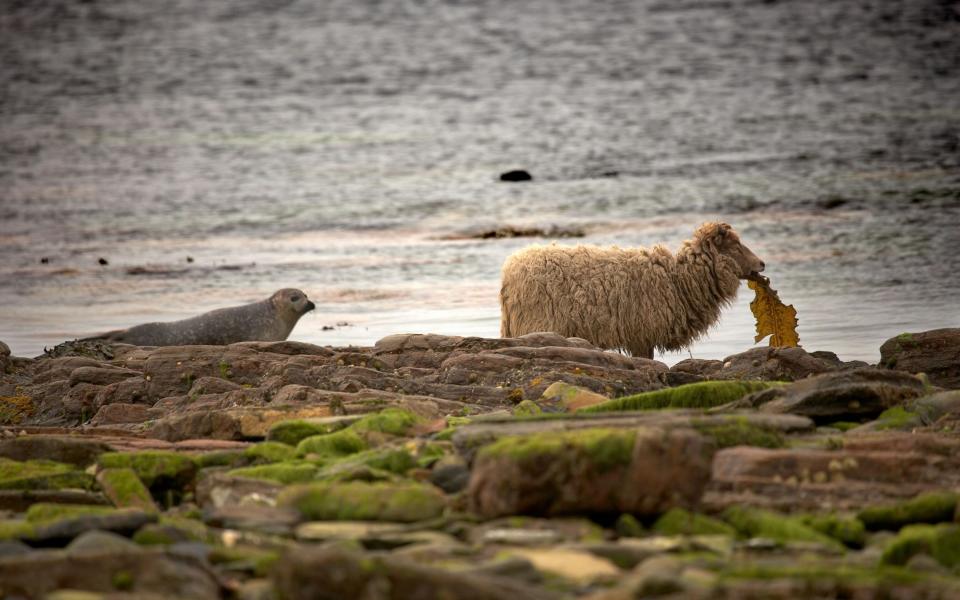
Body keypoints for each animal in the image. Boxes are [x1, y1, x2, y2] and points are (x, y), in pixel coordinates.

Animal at [502, 223, 764, 358]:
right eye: (735, 245)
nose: (762, 264)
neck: (678, 278)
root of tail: (511, 268)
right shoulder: (641, 333)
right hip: (537, 323)